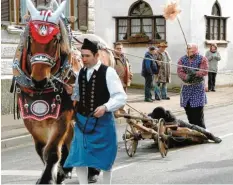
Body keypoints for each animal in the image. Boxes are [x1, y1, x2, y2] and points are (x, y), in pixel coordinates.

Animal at [10, 0, 115, 184]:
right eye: (30, 38)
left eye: (55, 40)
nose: (39, 80)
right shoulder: (31, 117)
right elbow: (42, 149)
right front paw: (57, 173)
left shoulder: (63, 115)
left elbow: (52, 150)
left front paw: (48, 178)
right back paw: (66, 168)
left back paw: (92, 170)